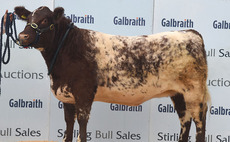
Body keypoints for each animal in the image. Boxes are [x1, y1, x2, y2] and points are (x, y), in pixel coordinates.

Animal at [14, 5, 210, 142]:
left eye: (45, 20)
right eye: (28, 19)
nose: (22, 36)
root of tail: (190, 32)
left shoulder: (84, 93)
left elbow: (82, 126)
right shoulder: (67, 96)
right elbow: (68, 126)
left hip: (194, 92)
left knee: (200, 122)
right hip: (179, 94)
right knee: (185, 120)